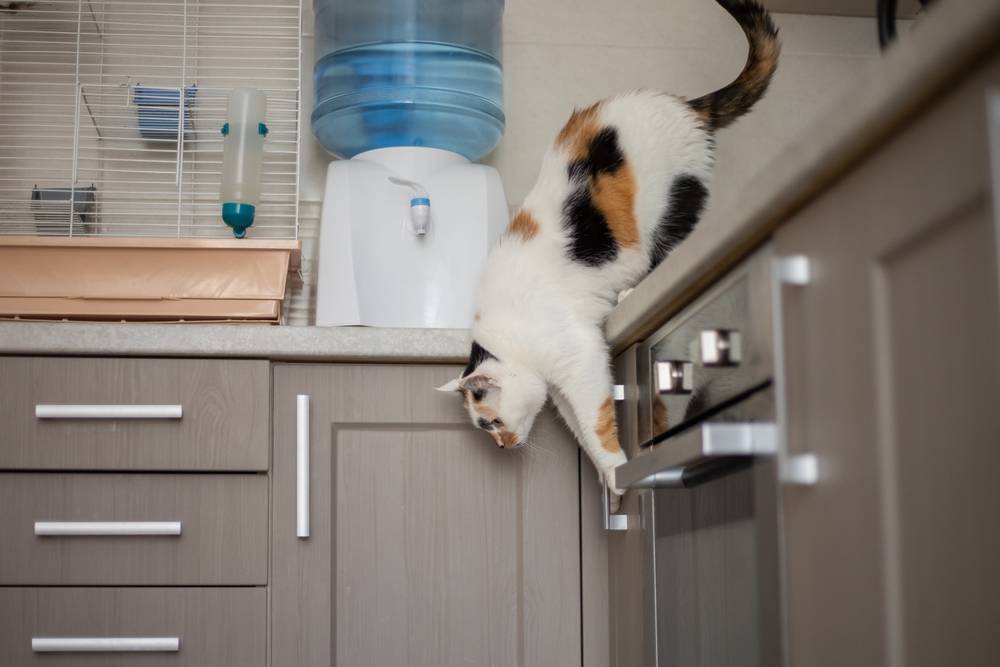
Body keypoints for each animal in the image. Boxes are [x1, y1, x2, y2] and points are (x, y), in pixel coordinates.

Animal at [438, 0, 780, 496]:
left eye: (491, 421)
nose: (501, 446)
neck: (511, 339)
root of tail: (681, 104)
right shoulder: (561, 386)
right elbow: (582, 430)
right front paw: (607, 476)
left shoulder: (580, 359)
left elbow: (596, 421)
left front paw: (618, 471)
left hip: (668, 203)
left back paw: (633, 290)